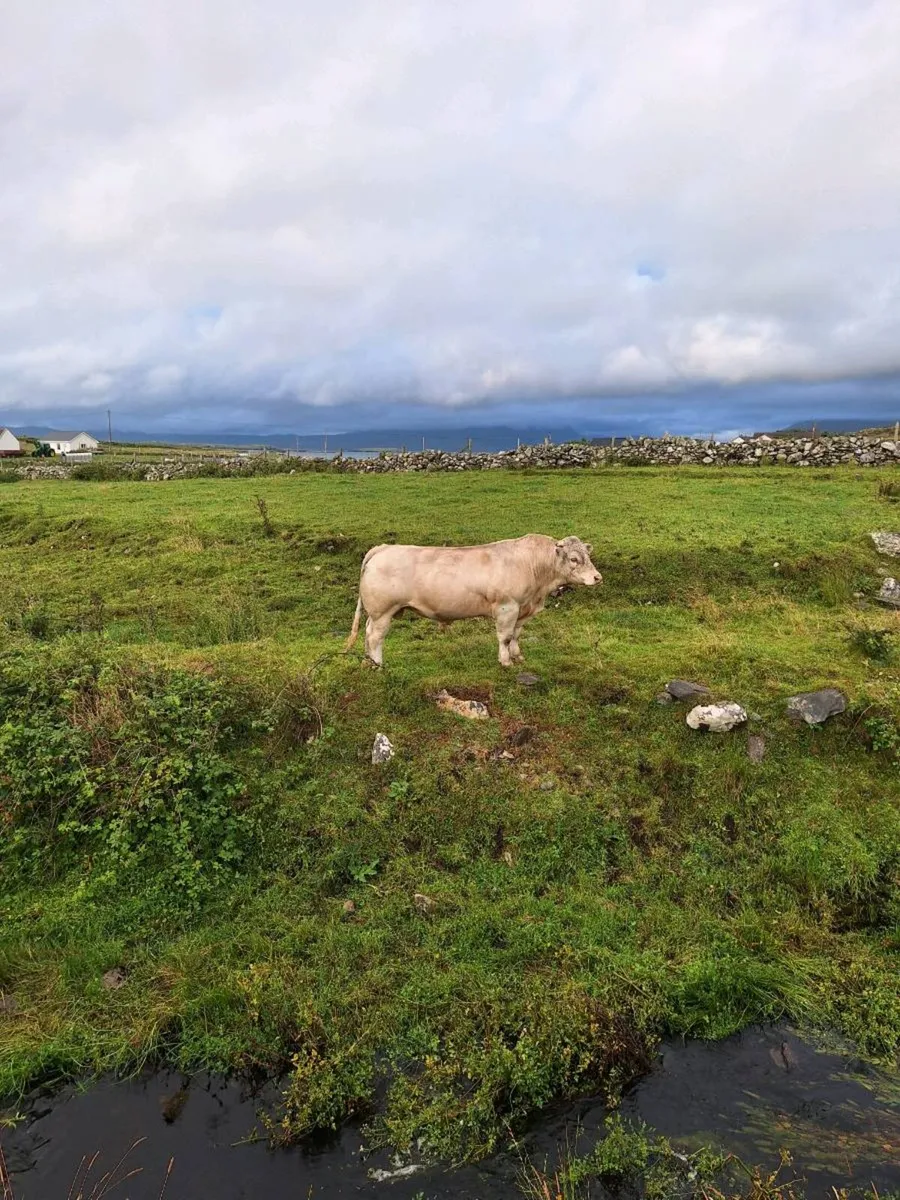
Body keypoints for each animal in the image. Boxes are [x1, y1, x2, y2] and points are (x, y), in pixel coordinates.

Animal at [344, 534, 602, 667]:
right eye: (574, 558)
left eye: (588, 556)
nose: (597, 577)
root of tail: (383, 548)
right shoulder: (507, 607)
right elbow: (505, 637)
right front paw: (505, 662)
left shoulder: (522, 610)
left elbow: (516, 635)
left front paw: (518, 656)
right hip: (383, 611)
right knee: (375, 636)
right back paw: (378, 665)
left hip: (377, 612)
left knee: (367, 632)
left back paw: (368, 661)